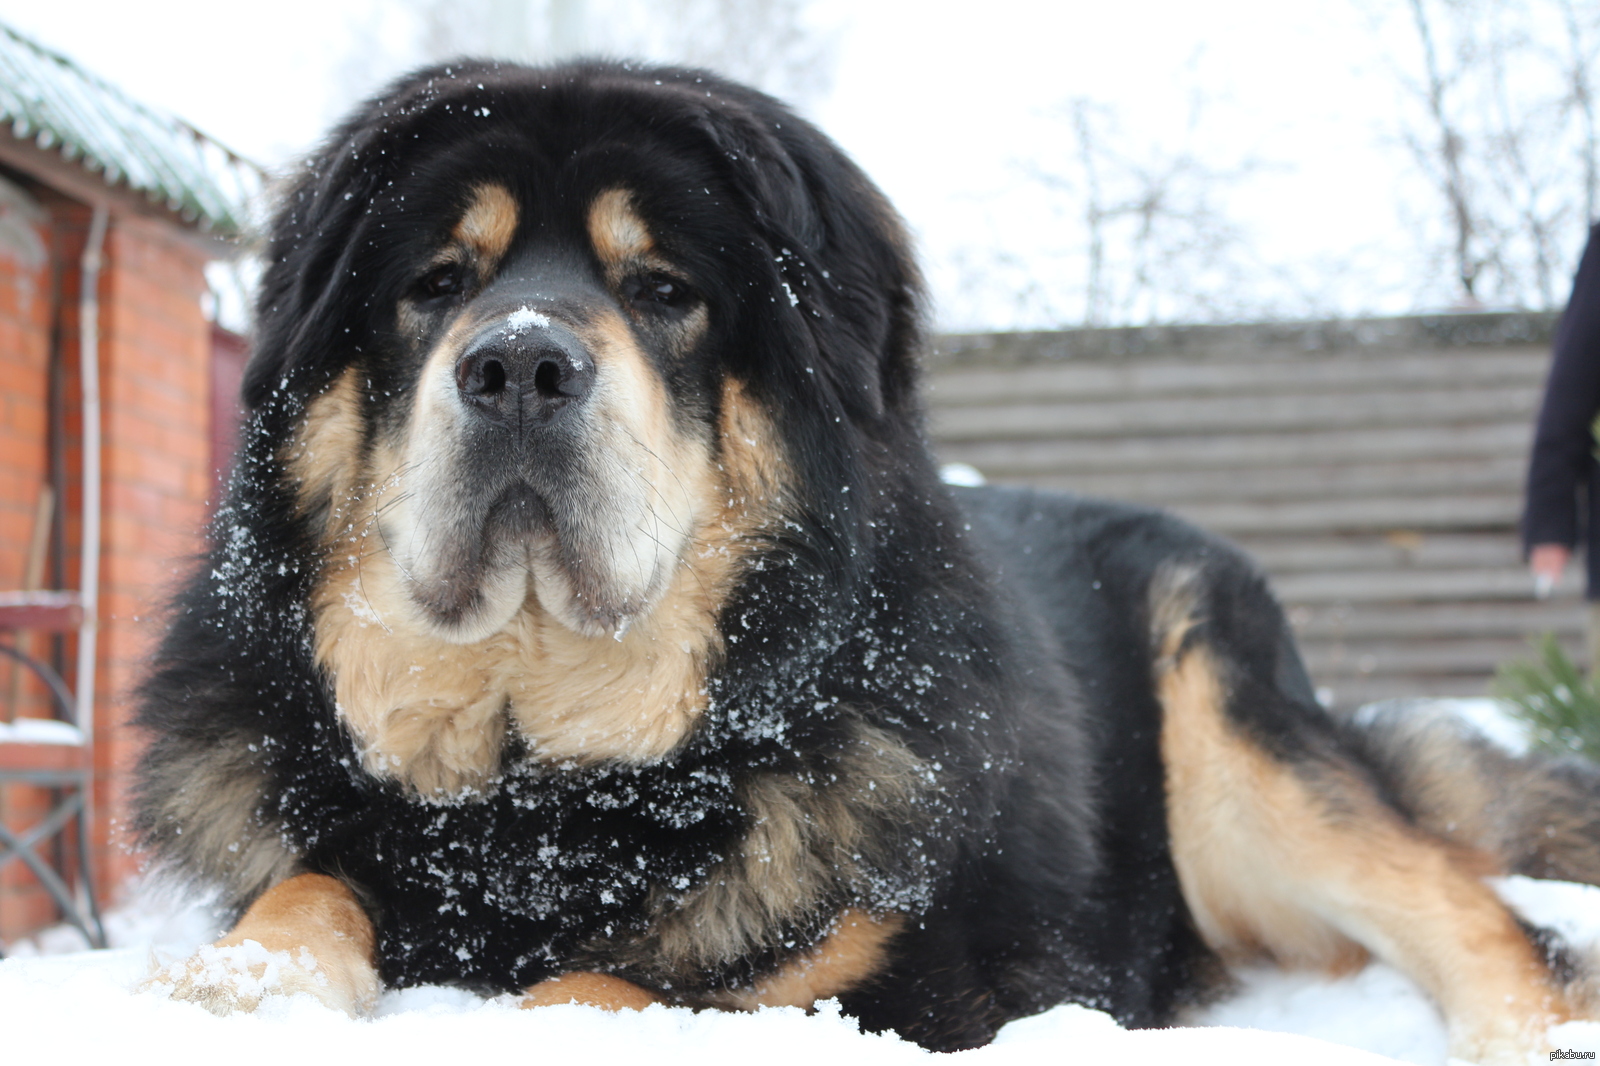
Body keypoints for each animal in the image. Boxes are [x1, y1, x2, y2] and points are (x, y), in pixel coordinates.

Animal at [134, 62, 1600, 1056]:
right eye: (435, 283)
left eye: (664, 291)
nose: (518, 365)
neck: (541, 795)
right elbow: (308, 881)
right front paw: (231, 993)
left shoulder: (916, 979)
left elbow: (624, 984)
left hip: (1237, 761)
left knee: (1464, 908)